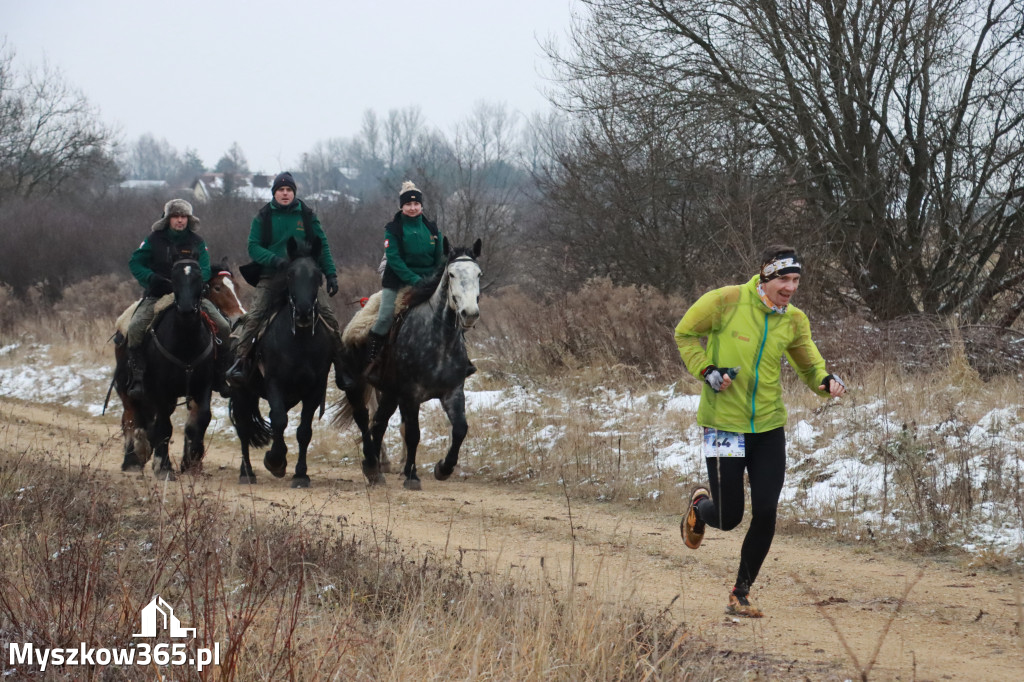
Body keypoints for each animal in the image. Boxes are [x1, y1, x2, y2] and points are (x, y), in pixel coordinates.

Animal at [114, 256, 218, 477]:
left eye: (198, 279)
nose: (186, 309)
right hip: (127, 388)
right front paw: (163, 466)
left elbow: (201, 419)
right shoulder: (162, 391)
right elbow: (164, 427)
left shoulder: (203, 387)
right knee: (131, 418)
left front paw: (192, 460)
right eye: (174, 279)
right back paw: (132, 459)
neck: (186, 342)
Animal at [228, 236, 331, 485]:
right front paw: (275, 461)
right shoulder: (275, 382)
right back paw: (246, 472)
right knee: (244, 429)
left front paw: (300, 474)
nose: (303, 312)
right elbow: (279, 420)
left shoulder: (314, 390)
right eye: (290, 274)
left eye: (318, 275)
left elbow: (303, 431)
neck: (300, 342)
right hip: (241, 392)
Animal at [333, 236, 481, 485]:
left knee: (378, 424)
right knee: (364, 420)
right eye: (451, 274)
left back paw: (377, 469)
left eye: (479, 273)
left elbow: (460, 429)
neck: (439, 342)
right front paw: (411, 475)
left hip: (389, 394)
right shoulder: (411, 394)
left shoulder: (452, 391)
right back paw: (372, 465)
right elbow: (413, 434)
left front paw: (443, 468)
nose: (469, 313)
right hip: (356, 386)